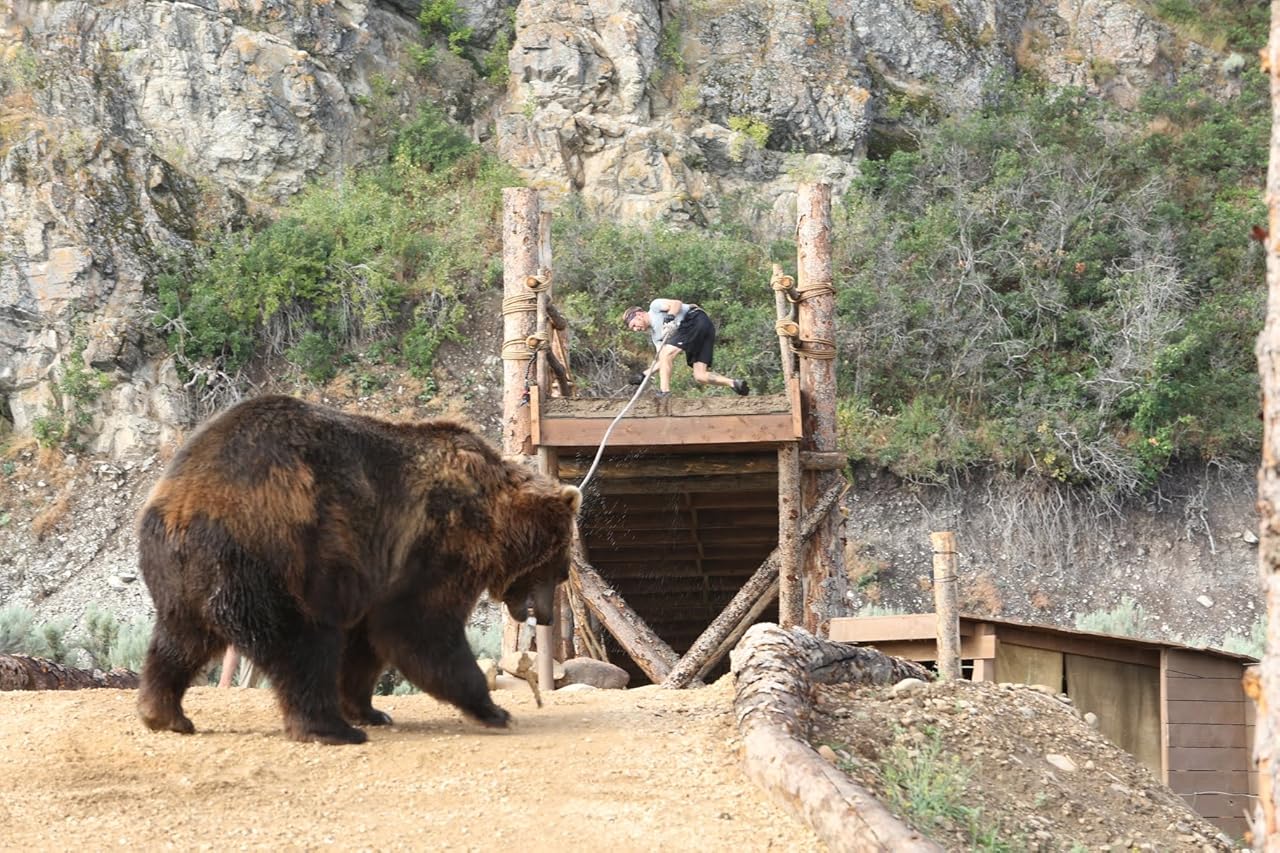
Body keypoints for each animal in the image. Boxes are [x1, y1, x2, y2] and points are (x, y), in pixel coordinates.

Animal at [135, 394, 580, 745]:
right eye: (559, 570)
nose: (544, 616)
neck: (491, 520)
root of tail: (184, 504)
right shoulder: (434, 545)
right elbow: (420, 629)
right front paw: (494, 710)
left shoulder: (377, 579)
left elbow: (367, 646)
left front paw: (370, 709)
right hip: (275, 558)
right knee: (301, 644)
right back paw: (330, 728)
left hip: (185, 575)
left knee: (178, 640)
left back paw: (165, 714)